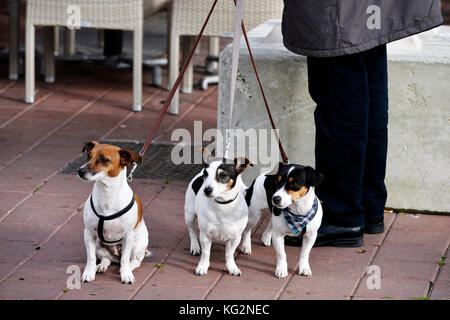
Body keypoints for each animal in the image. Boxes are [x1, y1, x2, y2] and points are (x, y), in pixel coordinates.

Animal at [77, 141, 148, 284]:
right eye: (88, 156)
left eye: (104, 160)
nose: (80, 171)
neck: (107, 194)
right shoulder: (89, 233)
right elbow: (91, 258)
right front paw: (88, 273)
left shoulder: (128, 236)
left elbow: (125, 259)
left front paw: (126, 275)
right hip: (98, 245)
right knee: (106, 259)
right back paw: (101, 266)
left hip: (137, 245)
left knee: (132, 261)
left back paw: (126, 269)